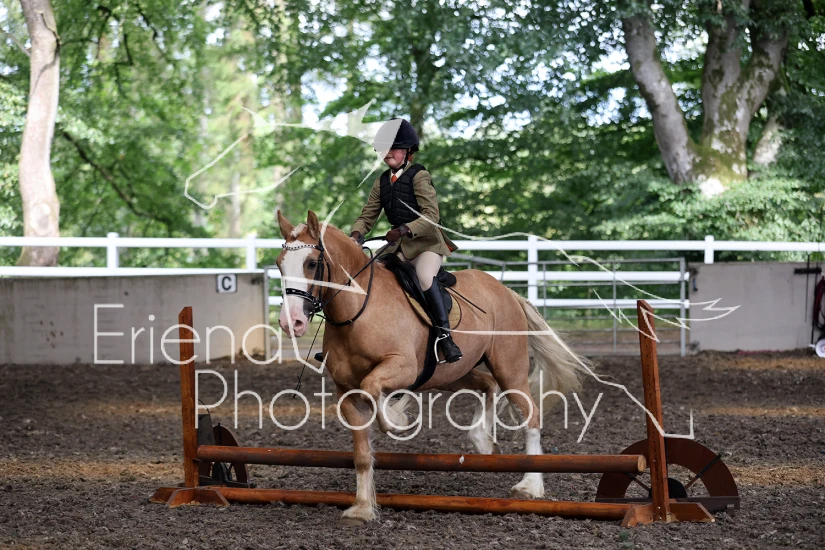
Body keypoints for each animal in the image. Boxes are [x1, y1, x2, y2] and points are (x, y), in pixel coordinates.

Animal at [275, 210, 587, 525]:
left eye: (311, 263)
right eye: (279, 264)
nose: (291, 323)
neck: (356, 312)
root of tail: (508, 292)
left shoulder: (403, 367)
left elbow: (373, 387)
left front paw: (398, 419)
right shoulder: (346, 392)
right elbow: (361, 454)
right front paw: (362, 508)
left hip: (509, 368)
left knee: (530, 415)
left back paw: (530, 485)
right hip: (451, 374)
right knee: (488, 385)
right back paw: (483, 442)